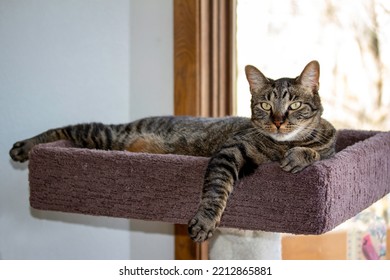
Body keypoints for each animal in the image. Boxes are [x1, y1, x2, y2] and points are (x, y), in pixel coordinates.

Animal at [10, 60, 336, 242]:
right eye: (266, 105)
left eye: (294, 104)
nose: (278, 121)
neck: (282, 143)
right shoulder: (229, 151)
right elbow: (216, 189)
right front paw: (205, 221)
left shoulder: (330, 147)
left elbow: (320, 151)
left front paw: (299, 156)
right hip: (105, 136)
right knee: (68, 129)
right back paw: (24, 146)